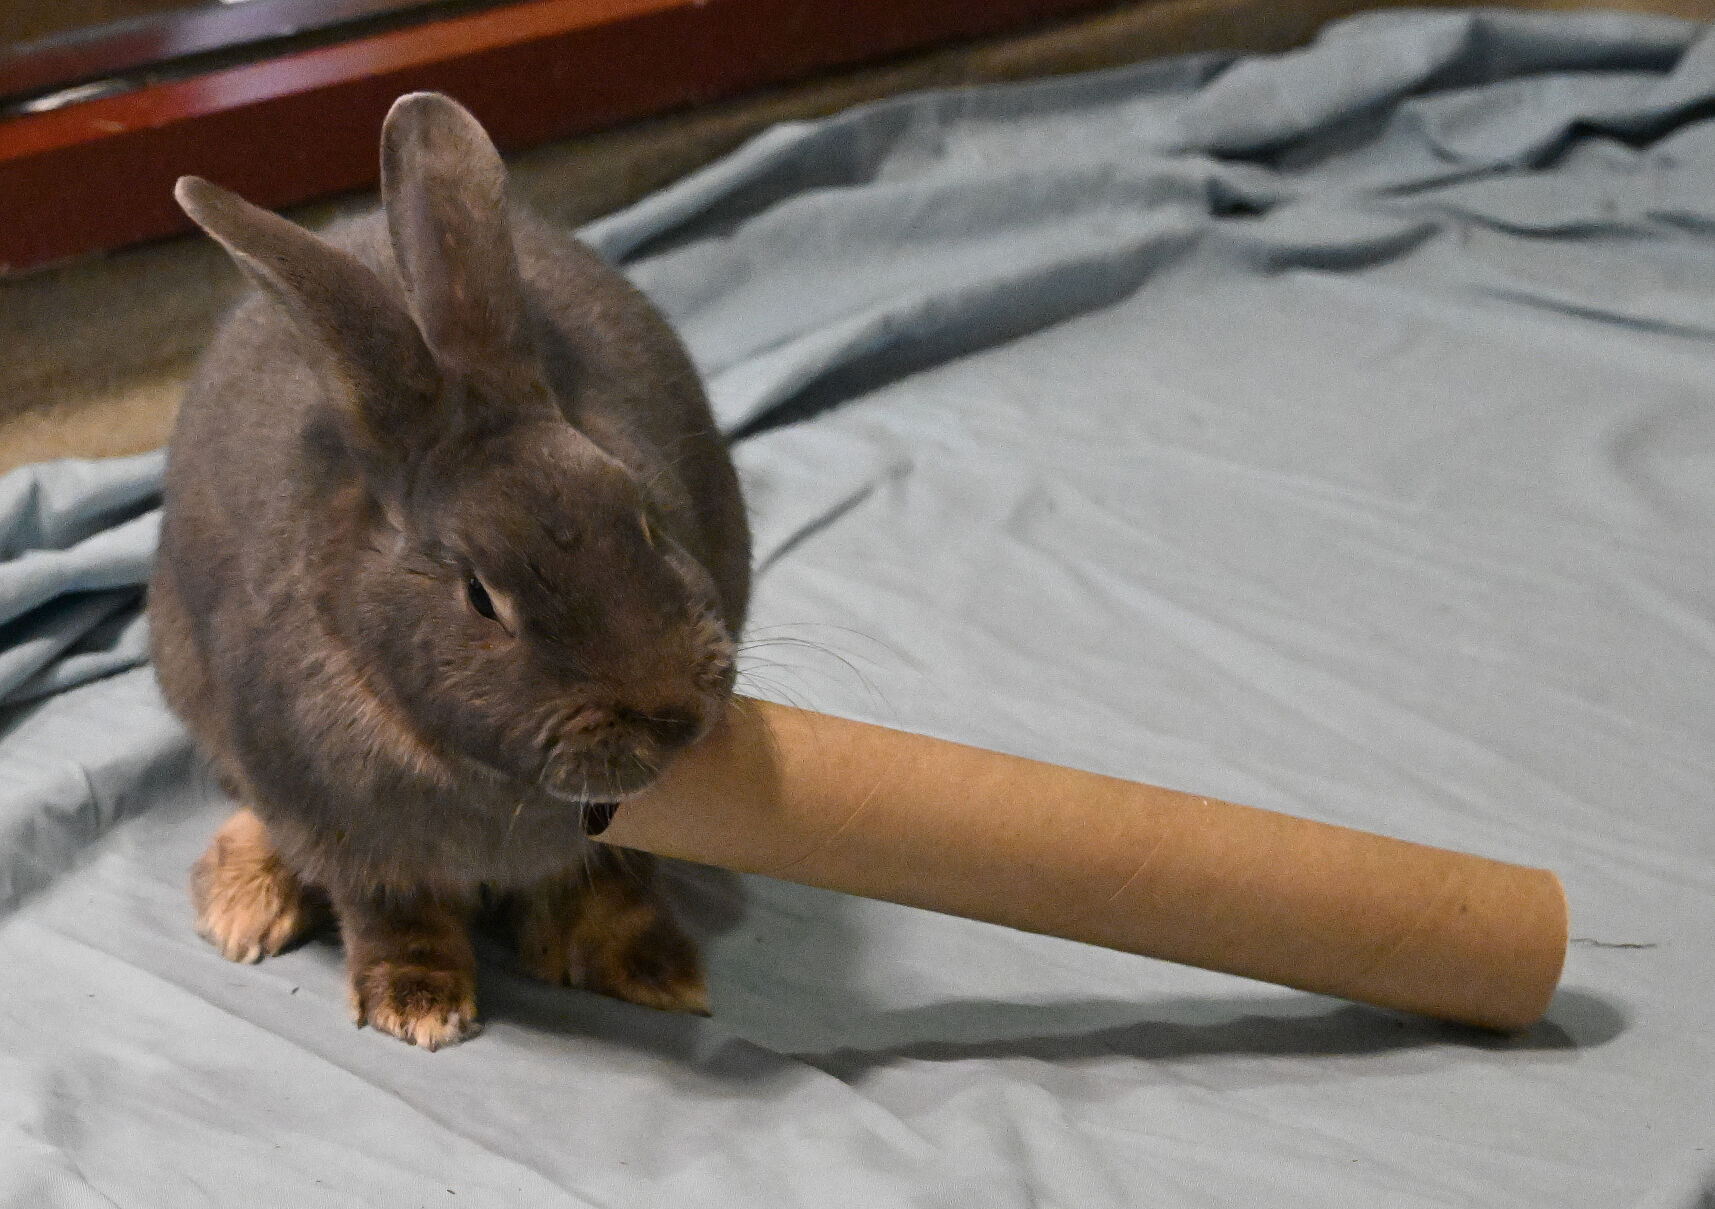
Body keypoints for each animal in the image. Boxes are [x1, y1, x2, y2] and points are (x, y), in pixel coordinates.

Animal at [149, 92, 751, 1049]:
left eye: (644, 517)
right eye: (480, 597)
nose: (672, 713)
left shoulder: (612, 842)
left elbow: (604, 888)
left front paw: (653, 971)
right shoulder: (357, 842)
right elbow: (395, 915)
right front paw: (418, 1007)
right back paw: (244, 900)